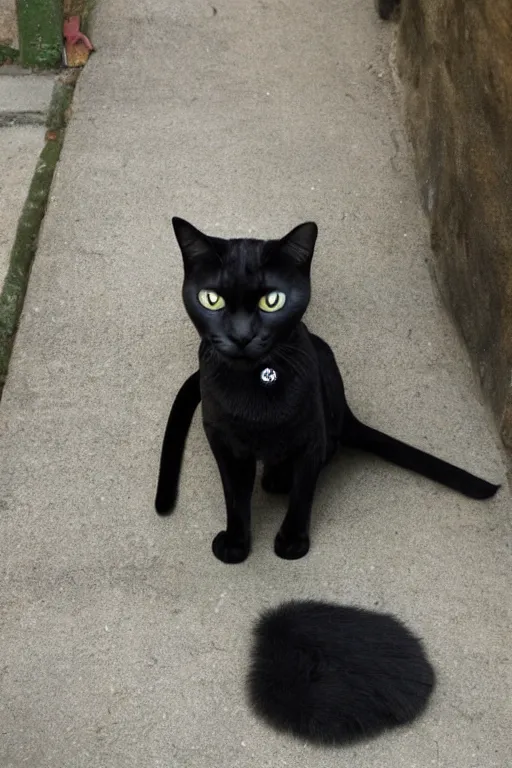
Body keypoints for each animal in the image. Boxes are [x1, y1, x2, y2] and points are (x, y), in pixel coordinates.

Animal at [156, 218, 500, 564]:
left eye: (273, 301)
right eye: (212, 300)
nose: (241, 336)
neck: (253, 385)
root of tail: (349, 413)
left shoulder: (311, 437)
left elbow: (302, 493)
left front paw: (292, 542)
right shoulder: (222, 441)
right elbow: (234, 496)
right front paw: (236, 545)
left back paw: (277, 479)